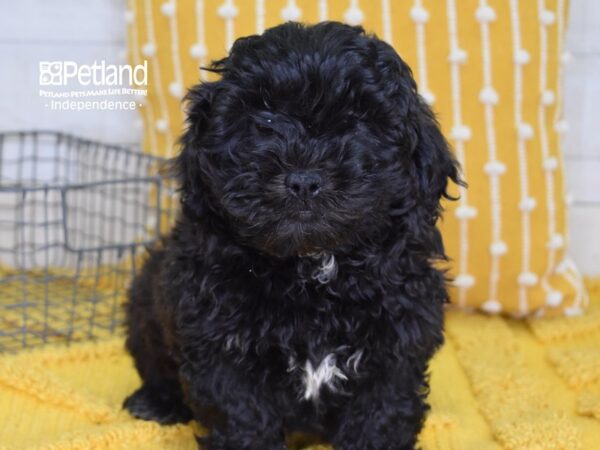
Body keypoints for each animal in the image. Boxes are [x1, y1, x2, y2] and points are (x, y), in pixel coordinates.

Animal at [122, 22, 460, 450]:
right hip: (146, 301)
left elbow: (380, 416)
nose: (303, 180)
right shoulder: (220, 345)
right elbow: (243, 420)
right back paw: (156, 401)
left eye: (357, 125)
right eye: (265, 122)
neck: (312, 268)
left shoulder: (396, 347)